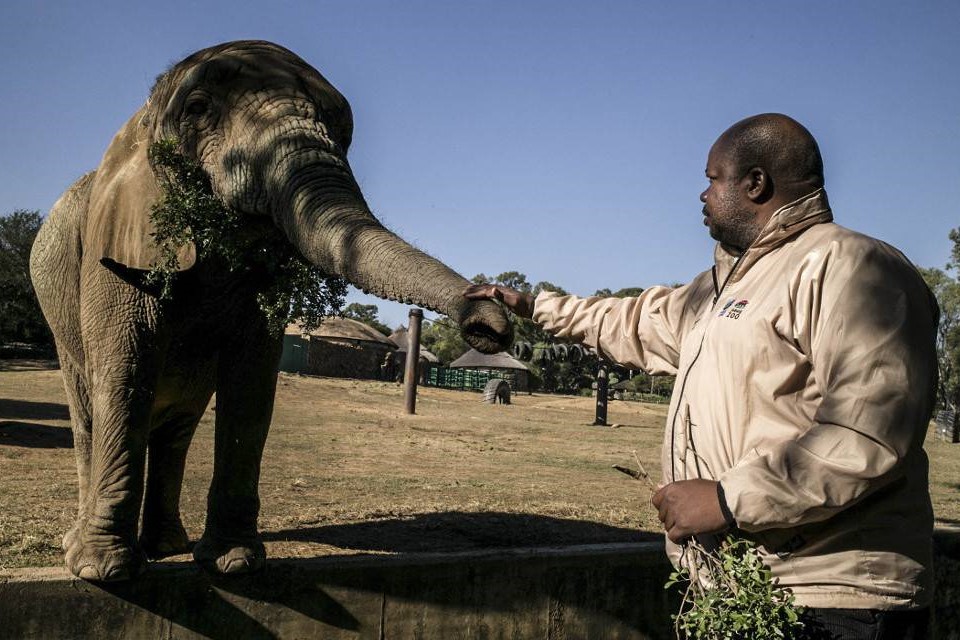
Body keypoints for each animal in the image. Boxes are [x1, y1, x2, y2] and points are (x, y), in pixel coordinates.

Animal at [28, 38, 510, 580]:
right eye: (197, 111)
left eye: (343, 131)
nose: (489, 321)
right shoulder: (117, 244)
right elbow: (126, 368)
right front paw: (104, 573)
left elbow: (251, 381)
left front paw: (235, 564)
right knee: (91, 409)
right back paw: (87, 545)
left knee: (176, 427)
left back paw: (167, 547)